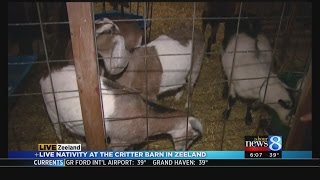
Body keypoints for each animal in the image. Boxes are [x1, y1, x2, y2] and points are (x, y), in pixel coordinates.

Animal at [38, 64, 201, 150]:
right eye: (192, 136)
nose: (182, 151)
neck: (143, 114)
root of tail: (45, 76)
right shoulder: (117, 142)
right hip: (52, 111)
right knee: (58, 130)